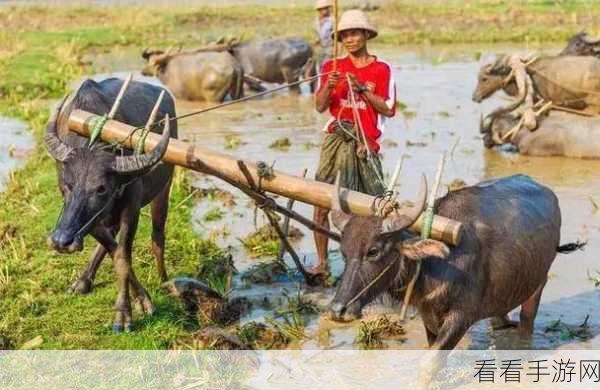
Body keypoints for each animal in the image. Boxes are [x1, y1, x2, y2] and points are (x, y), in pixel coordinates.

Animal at [44, 77, 177, 332]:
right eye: (67, 184)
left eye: (101, 188)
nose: (61, 241)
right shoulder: (91, 219)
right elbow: (113, 249)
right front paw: (139, 300)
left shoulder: (130, 207)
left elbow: (122, 257)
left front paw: (126, 313)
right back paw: (83, 280)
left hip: (164, 188)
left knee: (158, 236)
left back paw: (166, 281)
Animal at [326, 174, 584, 386]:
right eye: (344, 252)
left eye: (373, 251)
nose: (338, 310)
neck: (436, 264)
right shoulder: (429, 315)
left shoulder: (461, 317)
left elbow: (429, 363)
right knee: (500, 319)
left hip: (538, 284)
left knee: (527, 323)